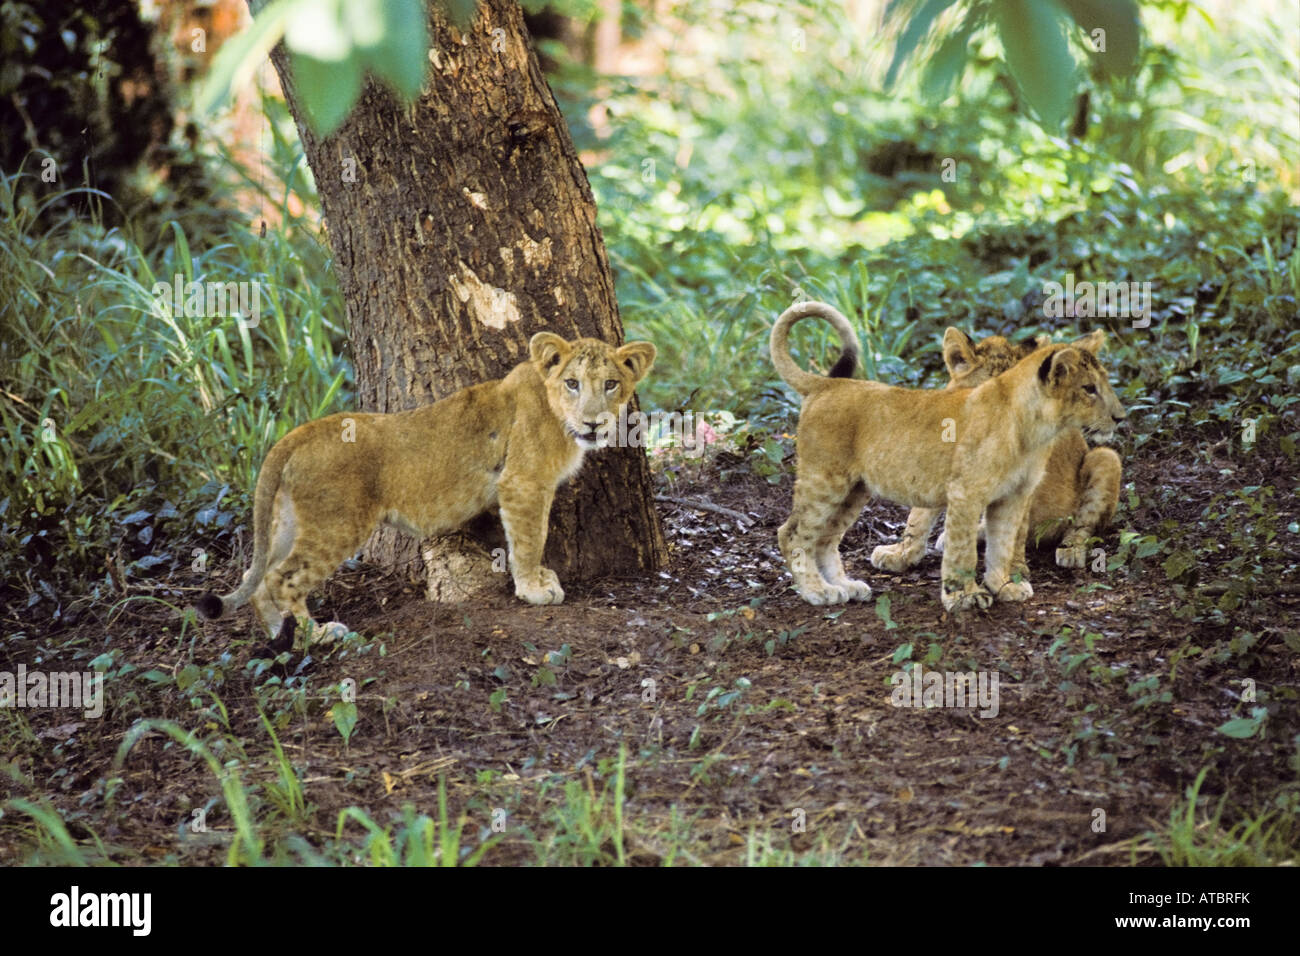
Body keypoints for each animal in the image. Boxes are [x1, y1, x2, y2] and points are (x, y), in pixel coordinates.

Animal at [196, 332, 656, 647]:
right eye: (573, 383)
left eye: (611, 384)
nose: (594, 422)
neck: (555, 411)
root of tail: (297, 434)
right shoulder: (523, 482)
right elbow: (530, 538)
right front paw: (533, 589)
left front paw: (541, 578)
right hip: (337, 525)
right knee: (282, 577)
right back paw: (318, 635)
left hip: (289, 521)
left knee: (255, 576)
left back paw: (279, 634)